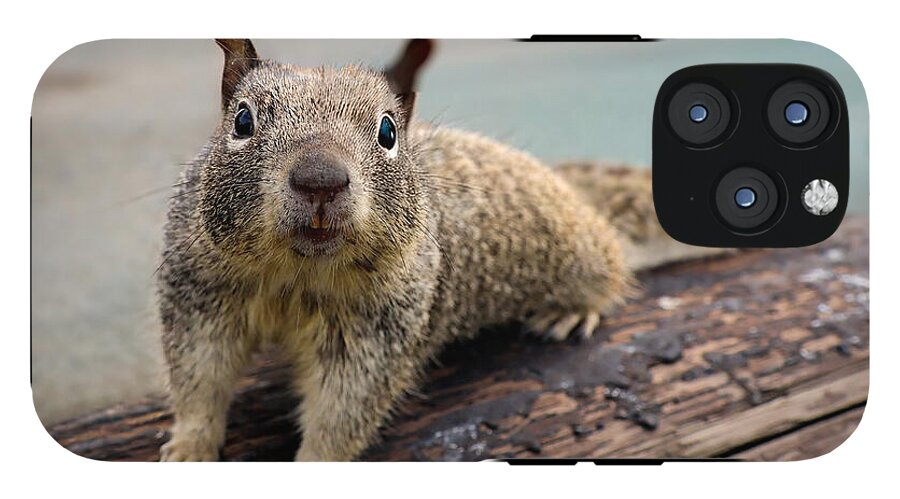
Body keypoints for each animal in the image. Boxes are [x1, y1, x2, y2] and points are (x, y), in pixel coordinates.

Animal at [158, 39, 709, 461]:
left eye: (387, 131)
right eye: (242, 121)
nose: (320, 180)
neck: (299, 272)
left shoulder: (377, 332)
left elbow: (343, 411)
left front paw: (314, 461)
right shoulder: (200, 296)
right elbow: (199, 380)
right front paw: (188, 447)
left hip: (580, 252)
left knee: (610, 265)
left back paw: (572, 310)